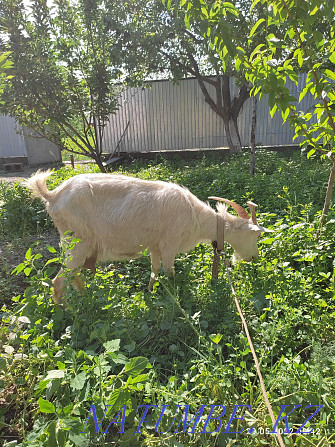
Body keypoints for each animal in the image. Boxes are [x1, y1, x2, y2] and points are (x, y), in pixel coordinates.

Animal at [25, 172, 268, 304]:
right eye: (256, 235)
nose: (255, 258)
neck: (195, 217)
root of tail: (53, 195)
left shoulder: (155, 247)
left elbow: (154, 271)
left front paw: (150, 293)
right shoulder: (169, 245)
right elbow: (169, 272)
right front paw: (175, 299)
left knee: (73, 277)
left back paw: (85, 300)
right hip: (77, 242)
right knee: (58, 282)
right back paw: (68, 312)